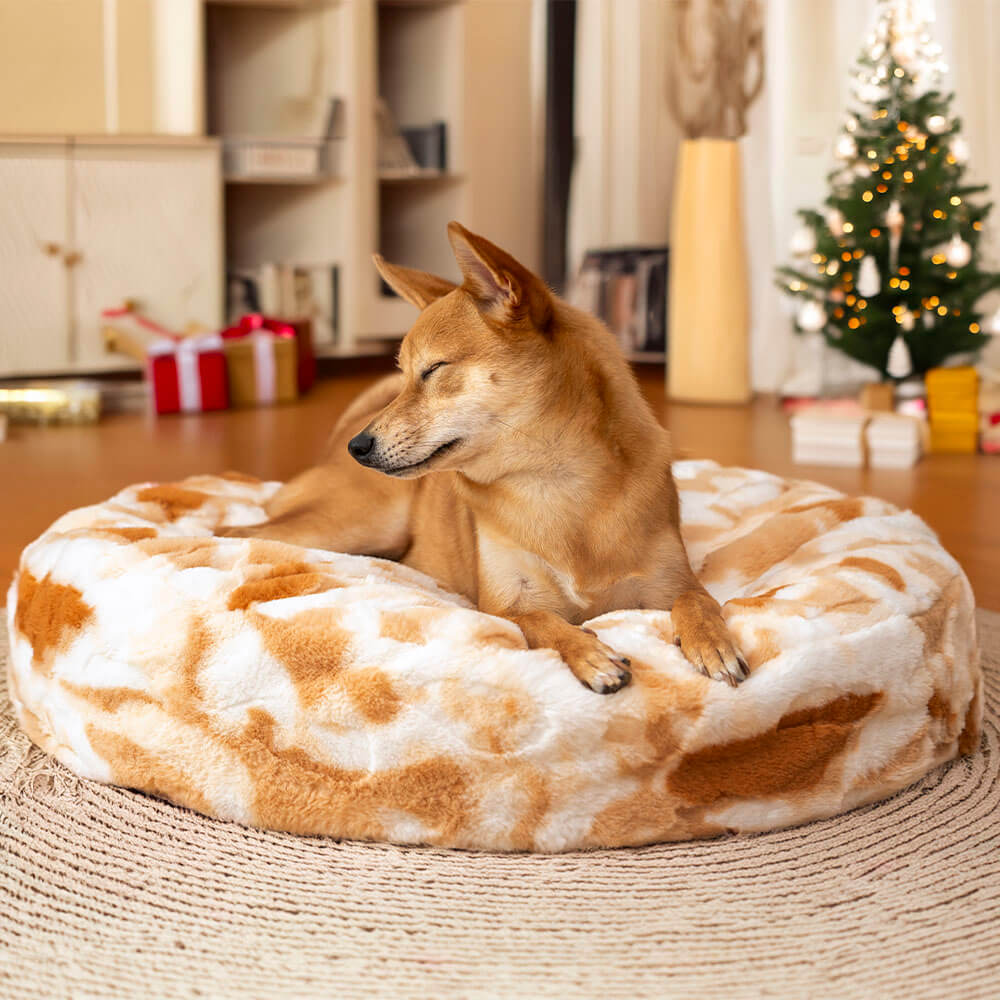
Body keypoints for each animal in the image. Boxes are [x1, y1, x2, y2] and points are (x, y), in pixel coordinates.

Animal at [225, 222, 744, 692]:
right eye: (404, 376)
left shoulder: (668, 586)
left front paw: (713, 643)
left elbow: (699, 602)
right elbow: (545, 625)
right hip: (356, 525)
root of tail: (333, 448)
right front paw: (590, 654)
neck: (554, 487)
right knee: (237, 533)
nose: (360, 446)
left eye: (433, 370)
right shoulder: (505, 607)